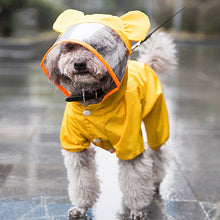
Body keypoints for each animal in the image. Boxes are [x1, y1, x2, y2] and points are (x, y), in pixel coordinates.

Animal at [41, 9, 177, 219]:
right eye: (70, 47)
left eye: (97, 47)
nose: (79, 64)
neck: (92, 98)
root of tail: (146, 63)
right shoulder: (76, 146)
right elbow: (81, 180)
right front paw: (81, 207)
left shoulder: (130, 144)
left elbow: (135, 180)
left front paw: (137, 209)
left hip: (157, 119)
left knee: (157, 152)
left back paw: (155, 180)